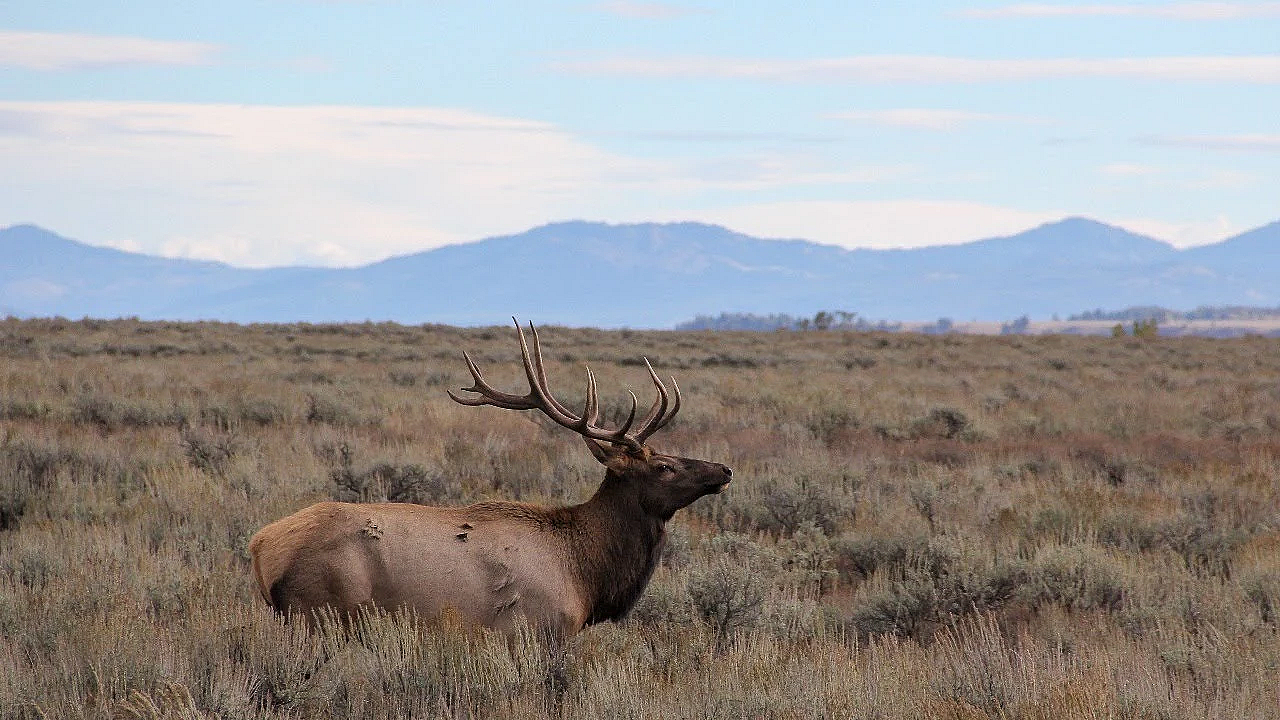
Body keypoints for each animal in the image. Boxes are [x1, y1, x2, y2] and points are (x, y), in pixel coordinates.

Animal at [249, 320, 732, 637]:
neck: (585, 573)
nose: (724, 470)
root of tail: (260, 546)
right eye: (664, 466)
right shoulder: (533, 629)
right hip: (319, 613)